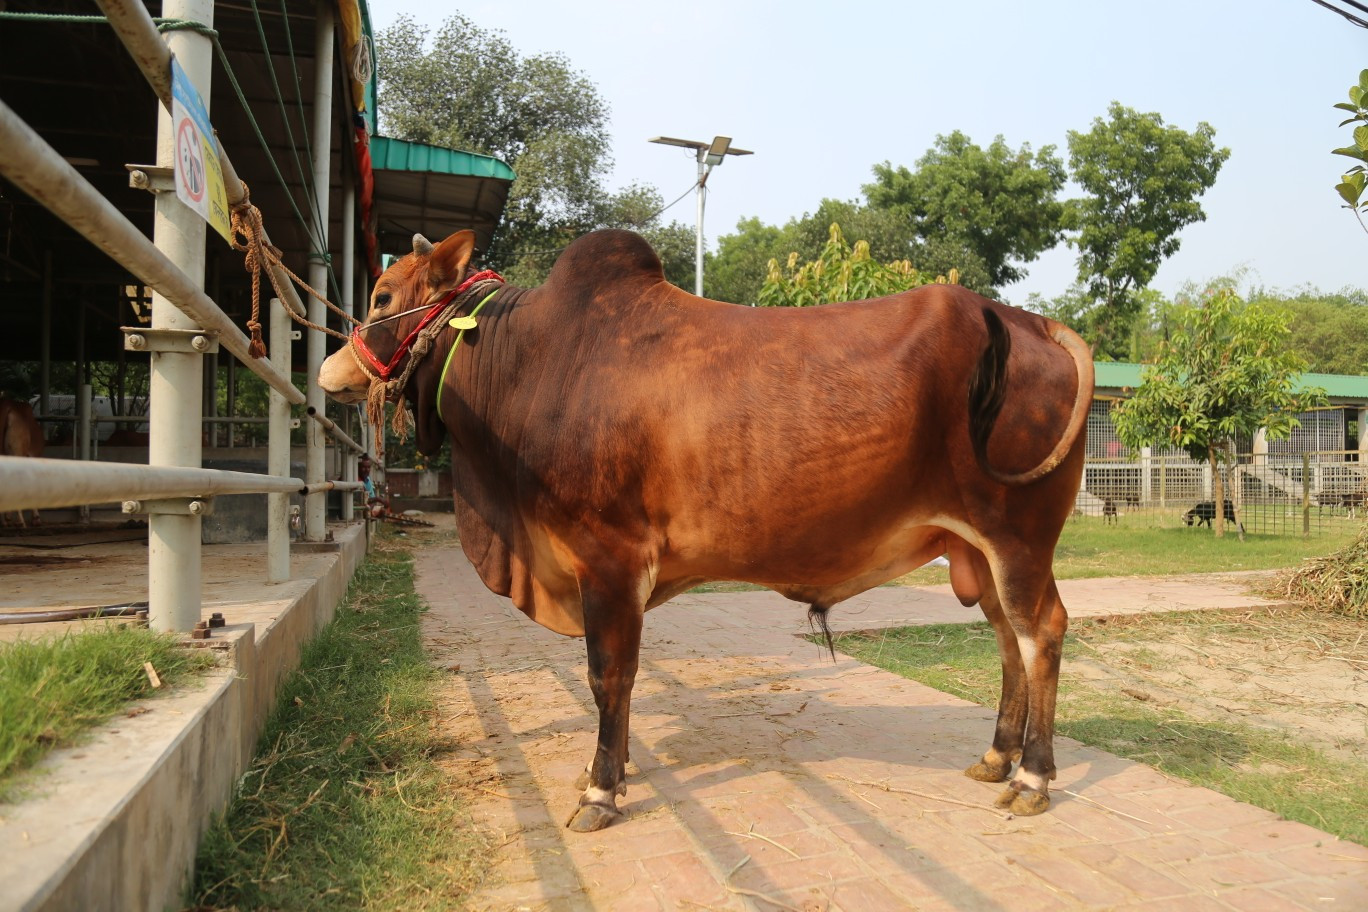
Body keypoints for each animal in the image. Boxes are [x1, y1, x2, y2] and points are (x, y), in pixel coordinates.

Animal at [319, 229, 1094, 831]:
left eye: (382, 296)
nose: (330, 370)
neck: (531, 361)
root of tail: (1024, 319)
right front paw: (611, 769)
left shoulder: (610, 559)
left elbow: (608, 673)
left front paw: (602, 790)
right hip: (978, 552)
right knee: (1008, 641)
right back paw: (997, 758)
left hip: (1018, 538)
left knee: (1042, 632)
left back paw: (1033, 778)